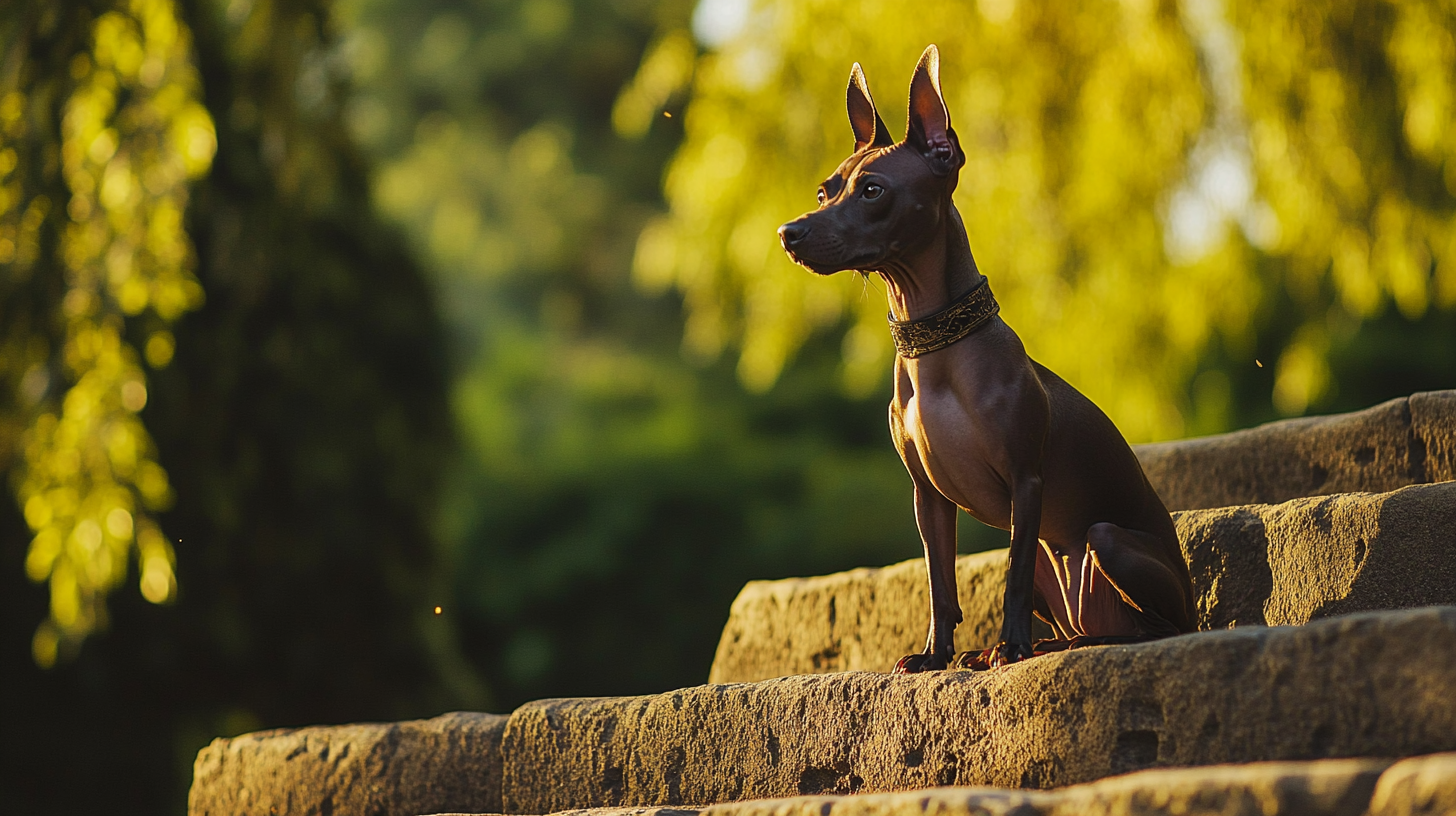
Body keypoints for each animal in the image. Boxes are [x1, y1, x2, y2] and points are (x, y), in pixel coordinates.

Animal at [774, 44, 1193, 670]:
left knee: (1154, 627)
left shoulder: (1027, 479)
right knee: (1078, 620)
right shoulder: (928, 499)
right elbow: (939, 583)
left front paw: (1011, 645)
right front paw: (935, 655)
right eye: (826, 191)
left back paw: (1065, 644)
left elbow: (1011, 579)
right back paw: (1045, 642)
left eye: (872, 190)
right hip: (1053, 555)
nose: (789, 233)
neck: (937, 346)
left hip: (1106, 541)